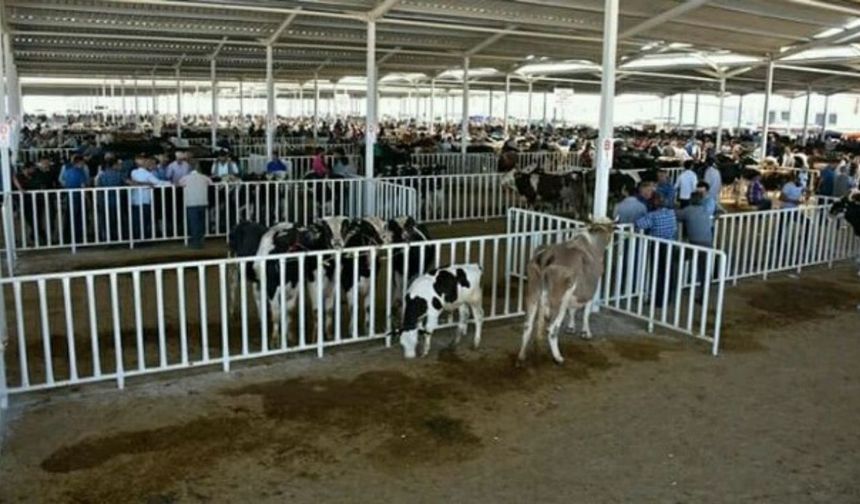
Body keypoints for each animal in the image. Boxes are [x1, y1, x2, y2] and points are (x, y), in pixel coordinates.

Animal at [520, 219, 616, 364]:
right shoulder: (590, 291)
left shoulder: (574, 294)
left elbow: (572, 310)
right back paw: (558, 357)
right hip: (559, 300)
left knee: (527, 324)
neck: (591, 243)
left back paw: (521, 356)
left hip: (533, 291)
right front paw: (586, 332)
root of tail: (546, 256)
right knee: (552, 329)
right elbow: (586, 313)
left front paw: (571, 327)